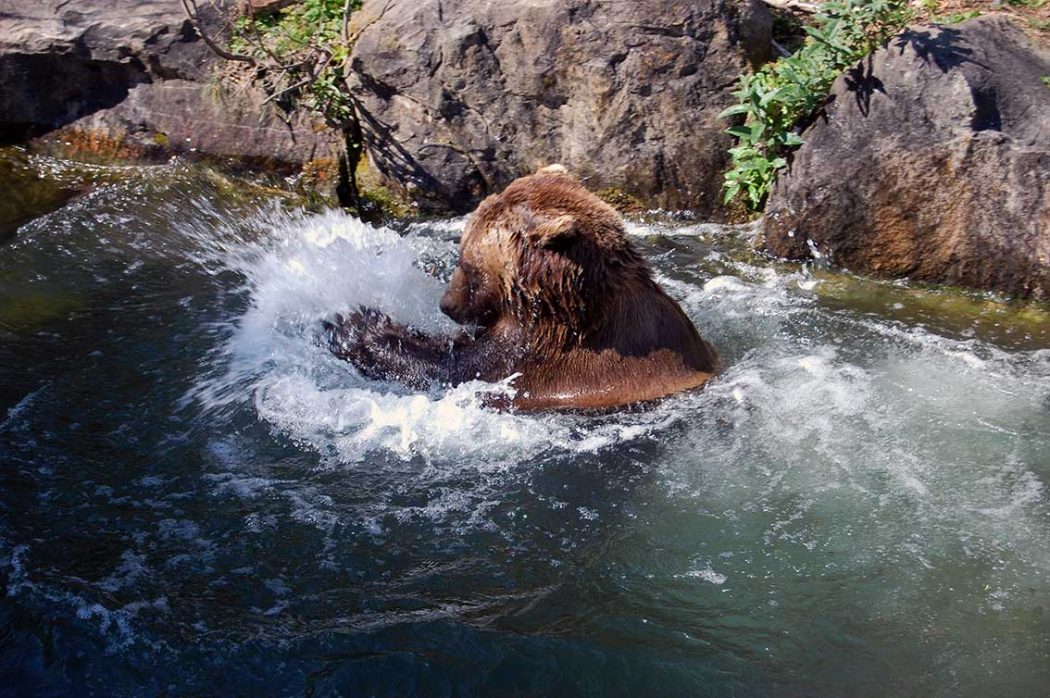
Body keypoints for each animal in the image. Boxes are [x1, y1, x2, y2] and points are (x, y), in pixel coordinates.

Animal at [325, 166, 722, 411]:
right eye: (461, 254)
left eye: (466, 263)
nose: (446, 305)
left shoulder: (541, 358)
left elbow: (455, 369)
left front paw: (357, 325)